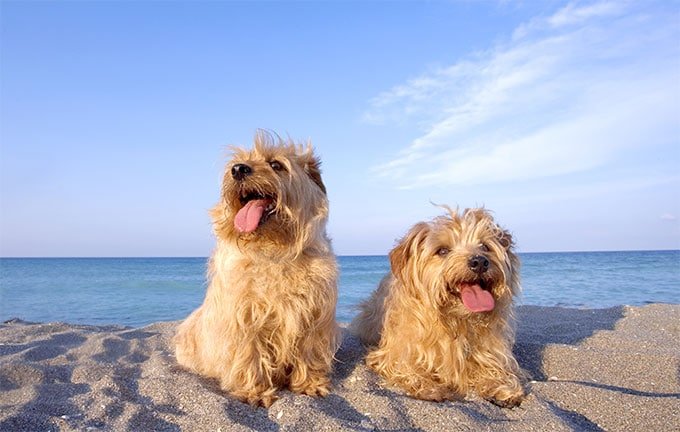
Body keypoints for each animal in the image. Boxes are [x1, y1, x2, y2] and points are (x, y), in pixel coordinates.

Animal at [173, 132, 338, 408]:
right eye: (238, 163)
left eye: (276, 164)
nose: (238, 169)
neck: (274, 250)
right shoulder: (244, 317)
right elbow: (249, 353)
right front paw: (255, 392)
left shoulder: (313, 315)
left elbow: (309, 350)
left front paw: (309, 384)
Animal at [350, 208, 524, 406]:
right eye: (442, 250)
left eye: (485, 246)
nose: (479, 262)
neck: (455, 321)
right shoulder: (394, 353)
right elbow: (406, 367)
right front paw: (430, 387)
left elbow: (494, 366)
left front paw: (501, 386)